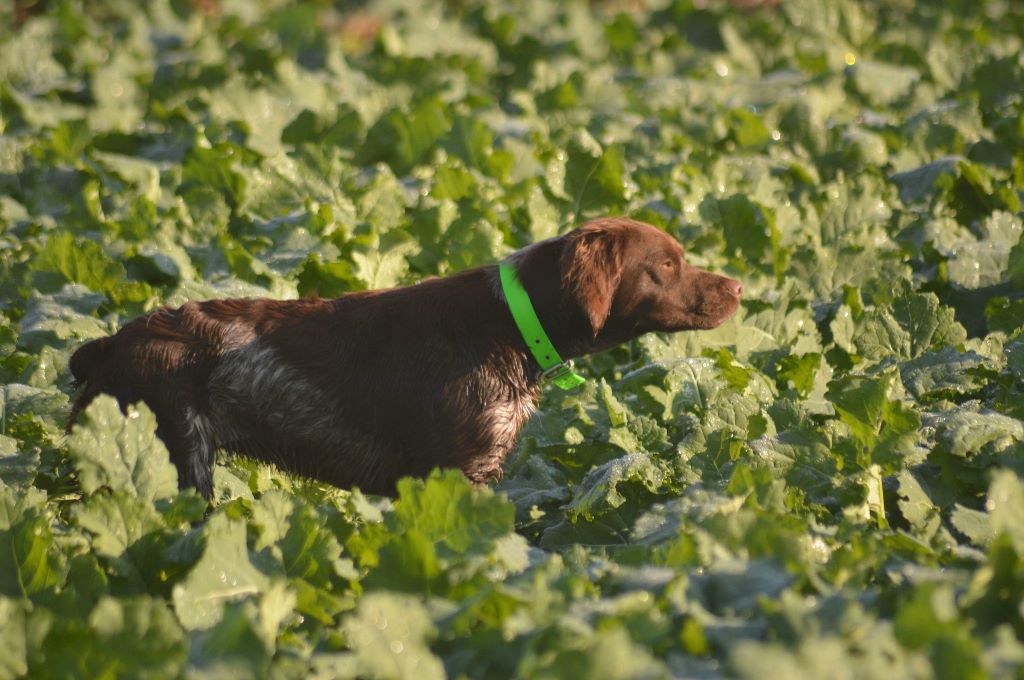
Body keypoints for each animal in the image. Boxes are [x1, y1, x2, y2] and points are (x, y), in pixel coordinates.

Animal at [68, 219, 741, 499]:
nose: (738, 287)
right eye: (668, 264)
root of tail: (110, 344)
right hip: (179, 457)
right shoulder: (460, 470)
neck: (508, 328)